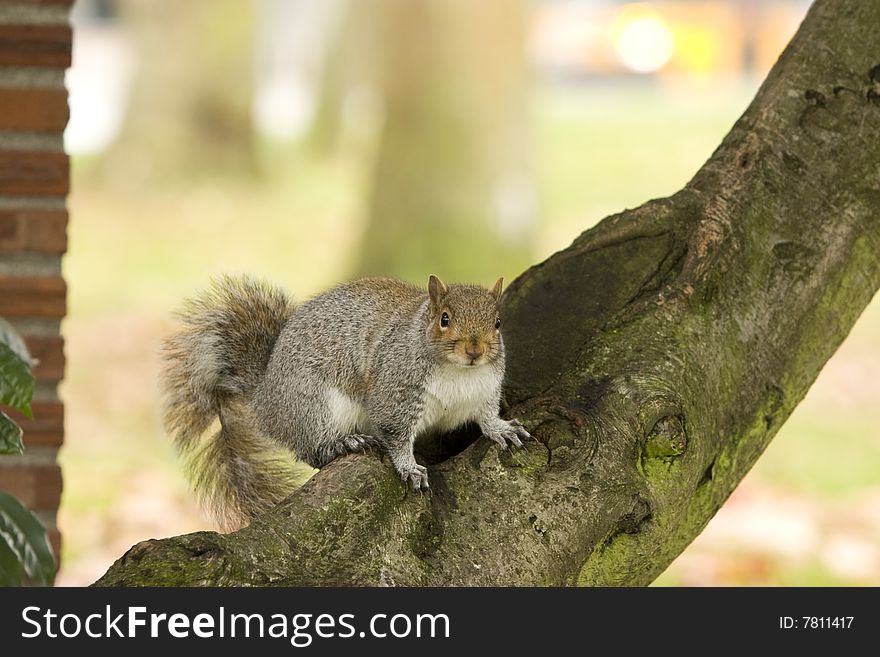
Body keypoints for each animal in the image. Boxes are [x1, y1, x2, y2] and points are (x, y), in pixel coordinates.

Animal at [160, 272, 528, 528]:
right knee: (311, 451)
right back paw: (343, 443)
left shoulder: (484, 393)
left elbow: (486, 417)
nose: (475, 350)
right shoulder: (395, 396)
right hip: (314, 405)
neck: (460, 374)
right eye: (445, 319)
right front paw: (410, 468)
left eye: (497, 322)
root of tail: (265, 398)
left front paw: (502, 429)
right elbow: (395, 435)